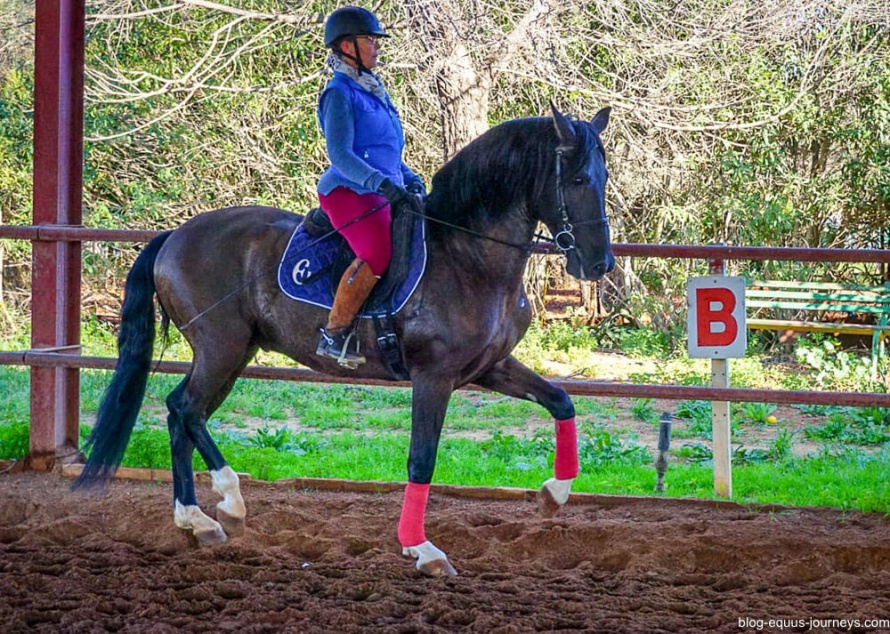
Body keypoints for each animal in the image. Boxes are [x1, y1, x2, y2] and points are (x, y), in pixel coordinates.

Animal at [74, 102, 612, 572]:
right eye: (578, 180)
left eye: (603, 178)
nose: (599, 264)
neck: (467, 254)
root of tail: (175, 235)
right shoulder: (433, 376)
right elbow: (421, 459)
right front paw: (421, 549)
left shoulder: (489, 367)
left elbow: (561, 401)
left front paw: (553, 494)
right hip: (220, 349)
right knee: (184, 409)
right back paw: (226, 502)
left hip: (234, 353)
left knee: (183, 415)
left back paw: (199, 520)